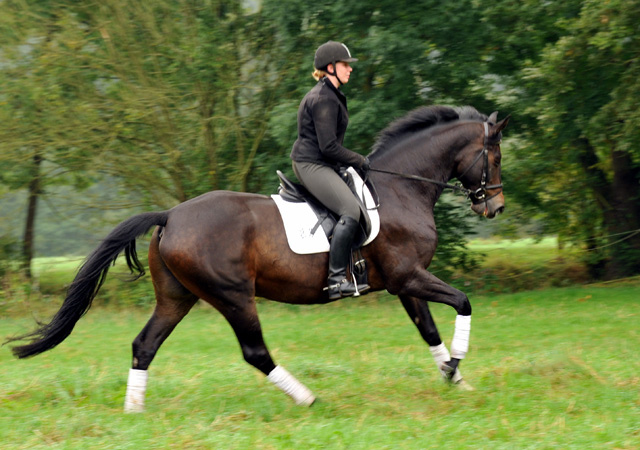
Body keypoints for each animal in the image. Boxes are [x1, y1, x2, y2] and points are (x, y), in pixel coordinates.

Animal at [6, 104, 510, 412]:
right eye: (496, 157)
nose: (496, 208)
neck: (401, 187)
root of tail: (171, 215)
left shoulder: (404, 282)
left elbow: (429, 329)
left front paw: (455, 379)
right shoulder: (409, 276)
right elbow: (463, 302)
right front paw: (456, 366)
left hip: (177, 298)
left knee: (144, 345)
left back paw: (135, 411)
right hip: (232, 294)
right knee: (254, 351)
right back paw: (308, 399)